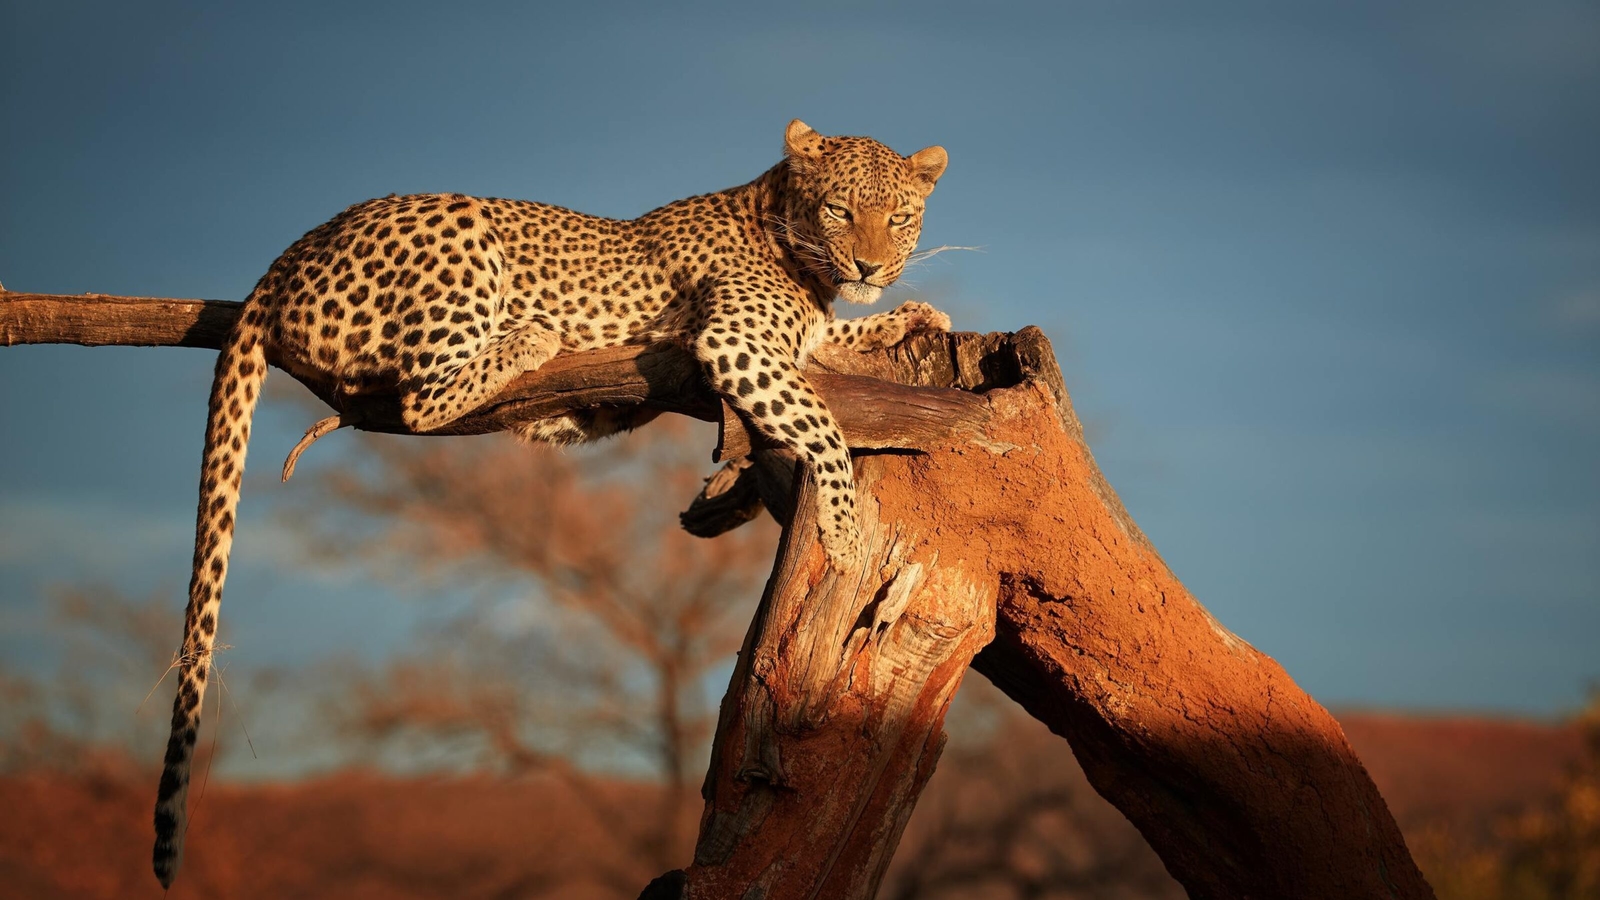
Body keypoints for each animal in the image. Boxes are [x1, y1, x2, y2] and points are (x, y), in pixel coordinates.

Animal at [150, 119, 950, 887]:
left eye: (900, 217)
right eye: (840, 210)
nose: (870, 268)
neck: (791, 240)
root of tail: (291, 252)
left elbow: (832, 344)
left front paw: (907, 318)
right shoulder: (735, 340)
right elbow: (822, 421)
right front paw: (843, 530)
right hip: (463, 236)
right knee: (419, 399)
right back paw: (532, 336)